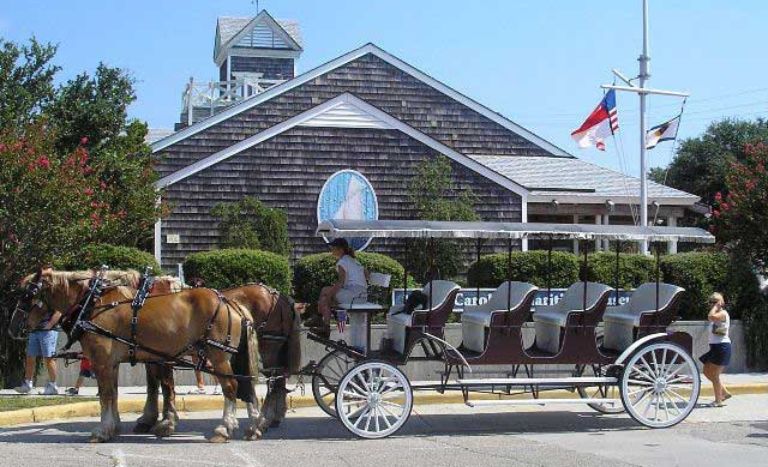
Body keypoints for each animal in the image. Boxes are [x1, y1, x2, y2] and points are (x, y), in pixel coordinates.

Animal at [14, 268, 268, 444]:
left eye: (28, 295)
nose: (13, 327)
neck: (92, 303)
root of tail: (232, 303)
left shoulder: (102, 361)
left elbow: (107, 395)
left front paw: (103, 430)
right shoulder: (114, 362)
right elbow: (115, 393)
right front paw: (116, 426)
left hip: (219, 356)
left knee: (231, 387)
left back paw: (224, 429)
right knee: (247, 387)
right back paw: (253, 426)